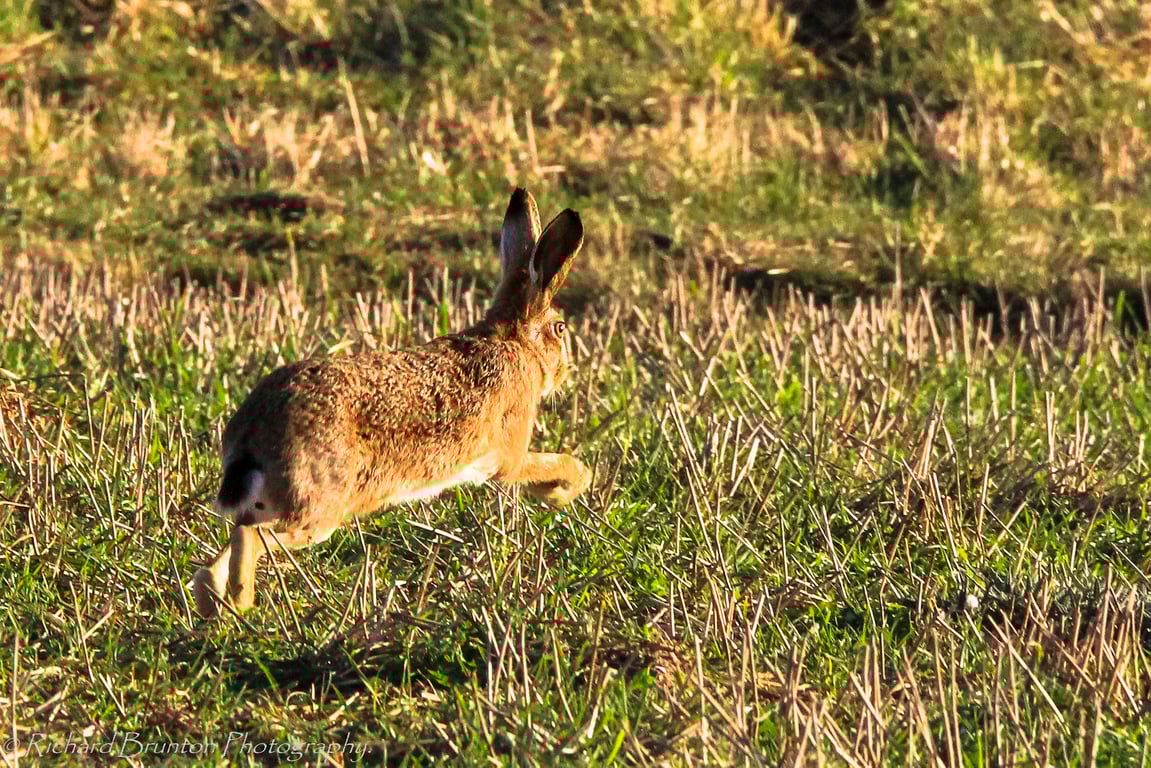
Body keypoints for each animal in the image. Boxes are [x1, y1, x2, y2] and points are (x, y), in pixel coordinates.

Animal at [192, 188, 592, 619]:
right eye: (560, 328)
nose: (564, 372)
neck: (512, 341)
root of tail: (254, 432)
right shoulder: (509, 456)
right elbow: (547, 464)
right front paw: (566, 488)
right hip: (319, 509)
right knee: (255, 535)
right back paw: (240, 601)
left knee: (233, 538)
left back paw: (213, 602)